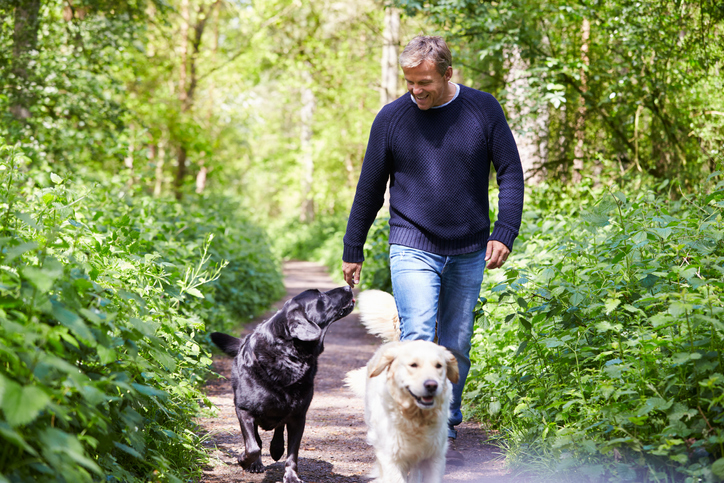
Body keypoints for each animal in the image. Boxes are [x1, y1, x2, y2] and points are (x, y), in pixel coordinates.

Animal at [209, 288, 356, 483]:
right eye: (320, 296)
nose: (348, 288)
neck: (288, 356)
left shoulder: (298, 416)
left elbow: (292, 453)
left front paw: (291, 476)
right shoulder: (243, 410)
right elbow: (253, 446)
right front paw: (244, 460)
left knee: (278, 429)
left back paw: (276, 448)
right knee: (257, 439)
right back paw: (256, 463)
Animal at [346, 290, 458, 482]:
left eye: (439, 366)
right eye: (412, 365)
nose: (431, 385)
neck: (415, 417)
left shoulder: (433, 456)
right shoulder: (390, 454)